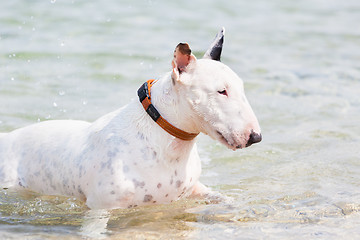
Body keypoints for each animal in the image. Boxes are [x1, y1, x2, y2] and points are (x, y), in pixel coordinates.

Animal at [0, 27, 260, 208]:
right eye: (221, 91)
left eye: (241, 88)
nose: (255, 137)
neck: (166, 142)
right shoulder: (101, 207)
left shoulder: (192, 188)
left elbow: (221, 197)